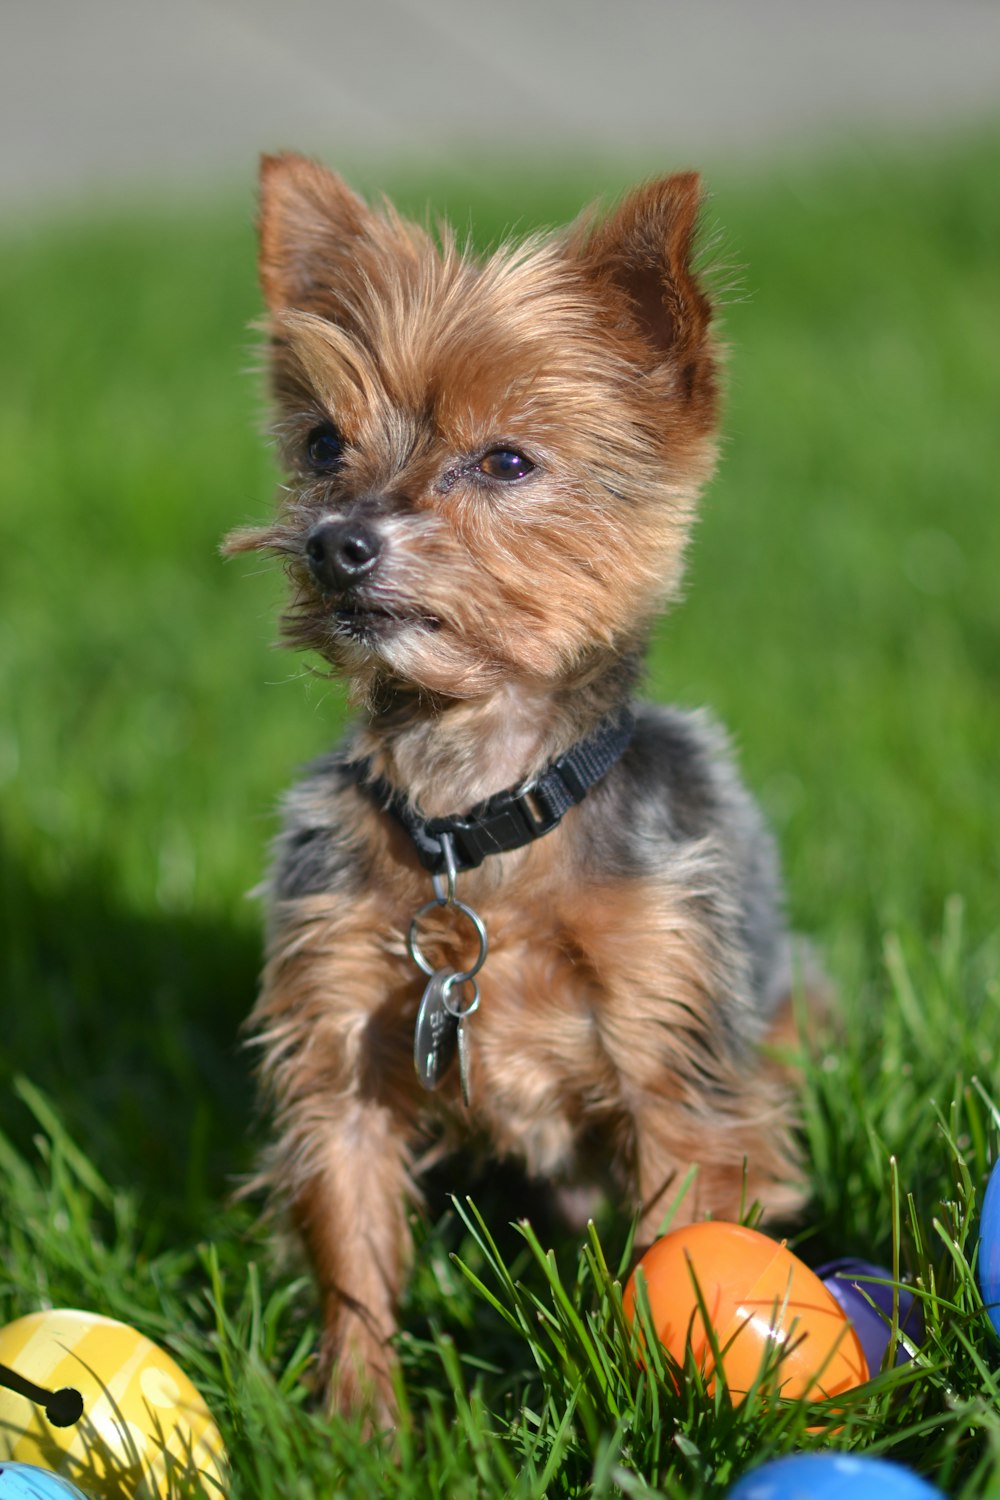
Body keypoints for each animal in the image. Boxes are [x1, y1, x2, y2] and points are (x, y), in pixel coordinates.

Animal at [226, 158, 815, 1422]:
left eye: (505, 461)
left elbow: (680, 1229)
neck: (476, 818)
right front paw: (359, 1426)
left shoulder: (671, 1044)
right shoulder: (337, 1027)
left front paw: (659, 1402)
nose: (336, 543)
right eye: (322, 443)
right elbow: (349, 1237)